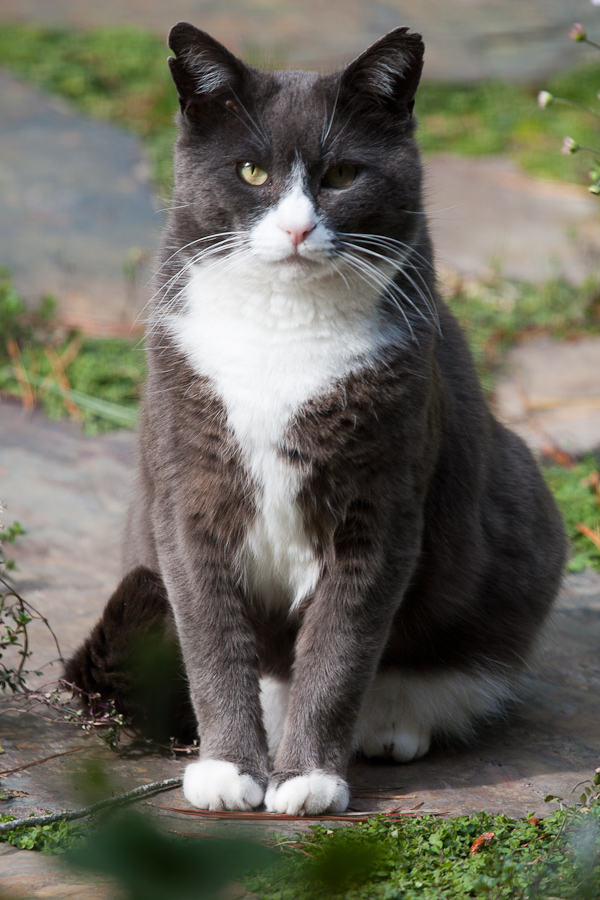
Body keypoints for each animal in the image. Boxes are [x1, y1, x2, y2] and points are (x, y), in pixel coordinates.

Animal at [65, 24, 568, 820]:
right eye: (251, 171)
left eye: (341, 174)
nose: (298, 227)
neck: (283, 326)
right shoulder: (187, 487)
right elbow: (211, 639)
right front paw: (228, 768)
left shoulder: (380, 507)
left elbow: (340, 650)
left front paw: (308, 779)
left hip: (519, 510)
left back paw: (393, 724)